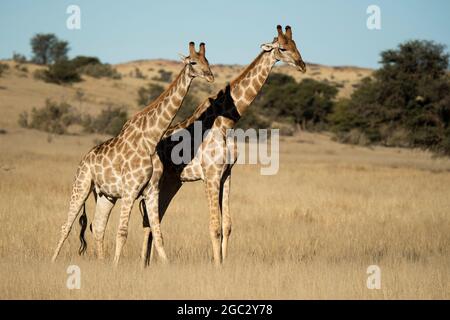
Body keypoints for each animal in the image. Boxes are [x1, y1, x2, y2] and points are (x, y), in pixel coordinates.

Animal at [51, 43, 214, 268]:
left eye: (208, 60)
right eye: (192, 62)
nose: (210, 76)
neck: (151, 139)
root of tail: (84, 159)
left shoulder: (152, 191)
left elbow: (157, 232)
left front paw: (166, 267)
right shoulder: (129, 190)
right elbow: (122, 232)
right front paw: (115, 267)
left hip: (106, 195)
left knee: (97, 226)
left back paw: (101, 262)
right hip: (81, 185)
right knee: (66, 226)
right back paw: (52, 261)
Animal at [137, 24, 308, 264]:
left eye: (295, 44)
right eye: (282, 48)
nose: (302, 65)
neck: (226, 123)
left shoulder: (226, 174)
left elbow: (227, 225)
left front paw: (224, 263)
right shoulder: (210, 176)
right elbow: (215, 227)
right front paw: (217, 265)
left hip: (172, 182)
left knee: (154, 219)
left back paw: (148, 264)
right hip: (155, 183)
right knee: (149, 221)